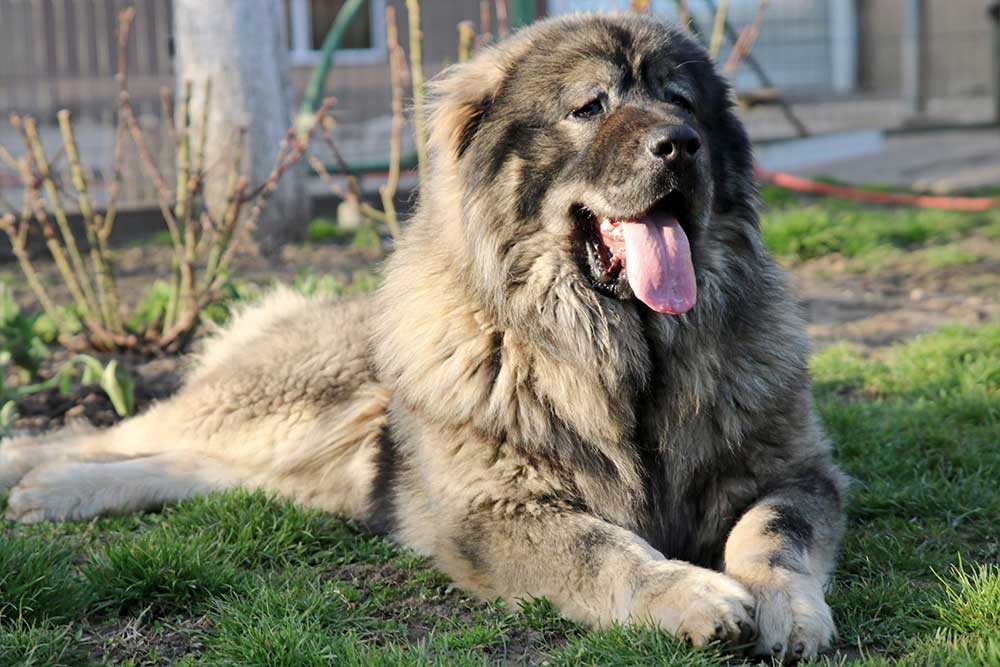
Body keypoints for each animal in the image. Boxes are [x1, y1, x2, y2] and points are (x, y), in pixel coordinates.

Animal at [0, 13, 845, 662]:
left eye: (682, 102)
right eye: (590, 107)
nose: (679, 143)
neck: (622, 355)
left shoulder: (796, 472)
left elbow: (773, 533)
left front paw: (790, 611)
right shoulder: (501, 510)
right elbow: (605, 549)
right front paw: (693, 593)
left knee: (199, 467)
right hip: (287, 401)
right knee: (118, 433)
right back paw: (41, 478)